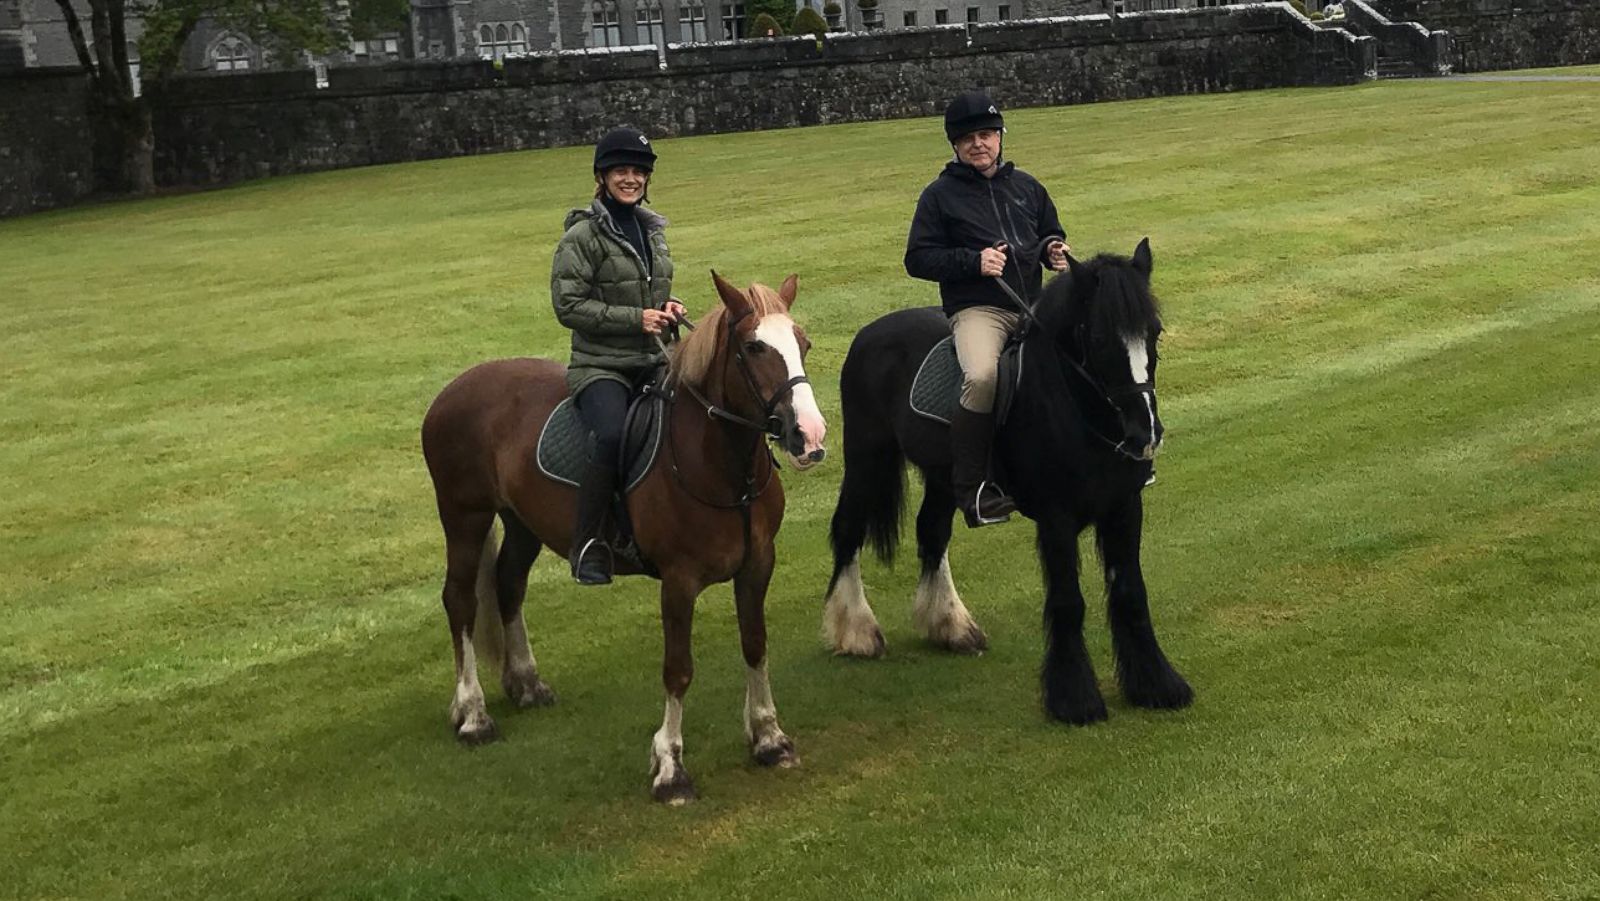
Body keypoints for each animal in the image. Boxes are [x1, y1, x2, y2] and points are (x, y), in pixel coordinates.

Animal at [419, 270, 832, 803]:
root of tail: (453, 389)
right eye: (754, 347)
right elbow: (678, 669)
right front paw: (670, 767)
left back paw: (527, 683)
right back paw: (472, 713)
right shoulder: (678, 581)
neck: (717, 463)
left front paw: (768, 738)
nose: (810, 436)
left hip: (521, 522)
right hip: (464, 515)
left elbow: (755, 645)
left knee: (508, 584)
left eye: (803, 343)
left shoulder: (758, 565)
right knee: (461, 601)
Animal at [825, 240, 1190, 726]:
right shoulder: (1056, 519)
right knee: (847, 531)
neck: (1074, 408)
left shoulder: (1125, 507)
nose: (1144, 434)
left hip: (943, 477)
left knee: (931, 532)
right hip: (867, 458)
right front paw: (1074, 700)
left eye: (1154, 332)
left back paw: (952, 626)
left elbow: (1130, 592)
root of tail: (869, 333)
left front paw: (1156, 685)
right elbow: (1068, 601)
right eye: (1098, 339)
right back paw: (857, 632)